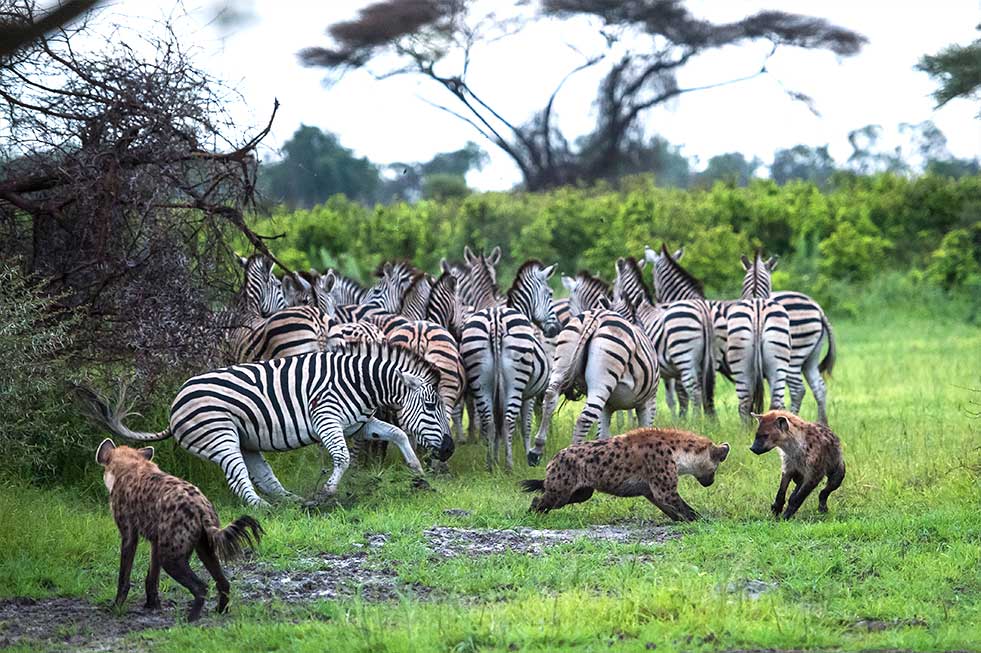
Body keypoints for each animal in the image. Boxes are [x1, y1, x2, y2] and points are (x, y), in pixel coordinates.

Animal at [76, 342, 454, 507]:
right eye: (432, 406)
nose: (449, 450)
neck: (361, 382)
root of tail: (174, 408)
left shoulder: (356, 424)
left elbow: (397, 431)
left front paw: (417, 470)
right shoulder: (327, 418)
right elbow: (343, 457)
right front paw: (328, 492)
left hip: (245, 440)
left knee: (262, 475)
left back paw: (292, 502)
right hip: (220, 436)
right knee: (238, 476)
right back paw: (265, 508)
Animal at [460, 260, 559, 470]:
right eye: (550, 294)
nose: (556, 329)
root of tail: (495, 320)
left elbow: (498, 425)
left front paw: (497, 456)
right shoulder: (528, 395)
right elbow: (526, 425)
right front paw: (529, 455)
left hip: (479, 377)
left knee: (490, 421)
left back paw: (491, 465)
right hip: (516, 381)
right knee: (508, 419)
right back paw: (509, 465)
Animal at [614, 255, 716, 418]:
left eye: (614, 283)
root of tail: (701, 309)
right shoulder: (667, 373)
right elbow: (671, 400)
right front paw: (676, 420)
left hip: (684, 356)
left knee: (695, 391)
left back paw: (697, 420)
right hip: (706, 359)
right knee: (707, 390)